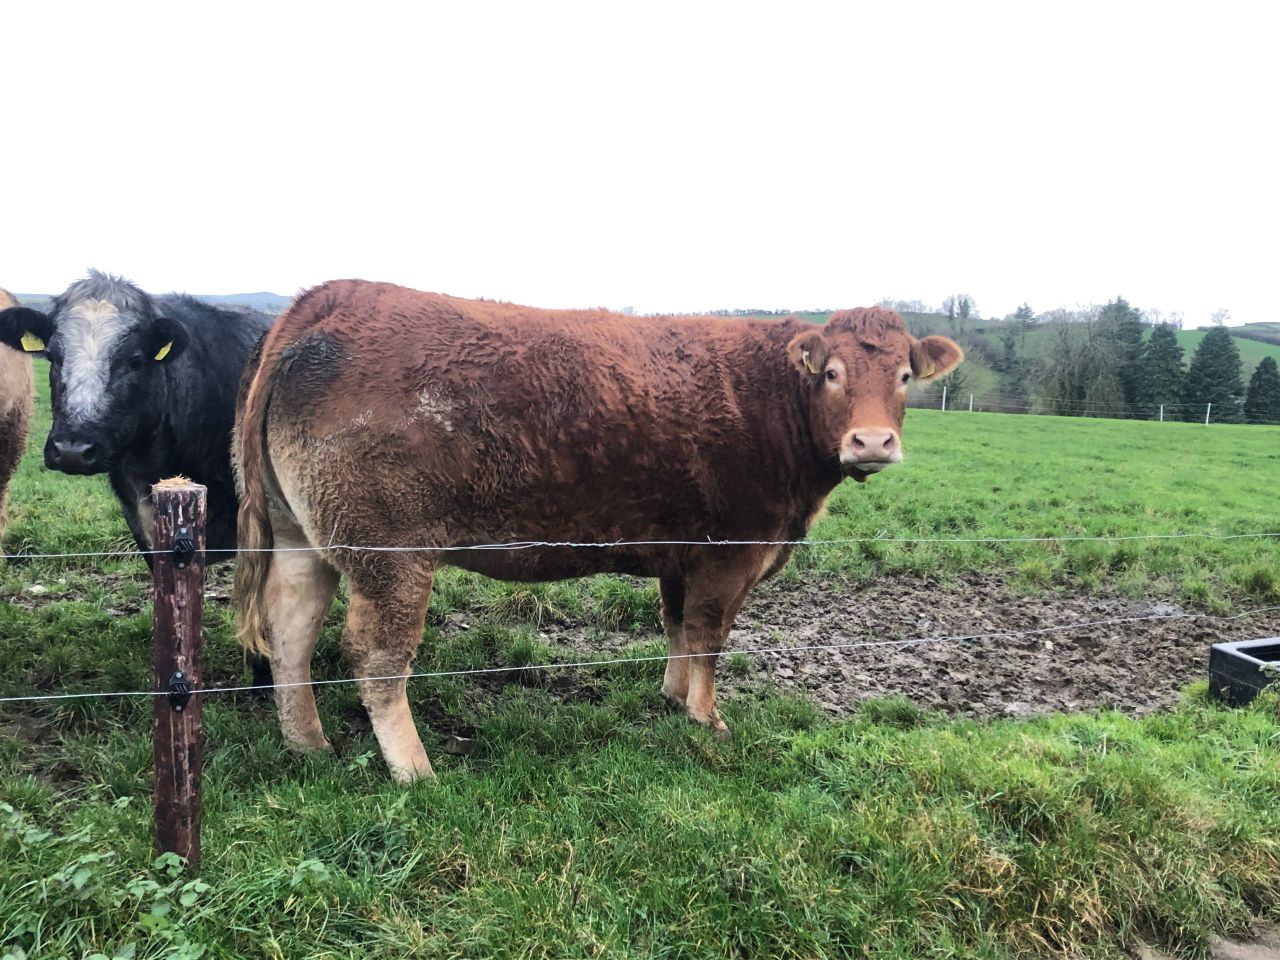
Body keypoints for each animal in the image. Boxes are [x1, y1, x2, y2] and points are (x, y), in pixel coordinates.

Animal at [234, 280, 963, 782]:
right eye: (832, 373)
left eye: (905, 376)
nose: (873, 441)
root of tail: (332, 298)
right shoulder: (731, 553)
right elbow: (709, 635)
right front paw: (708, 719)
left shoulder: (680, 554)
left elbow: (676, 626)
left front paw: (672, 697)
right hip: (391, 553)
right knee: (376, 655)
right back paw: (416, 770)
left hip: (301, 536)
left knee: (291, 630)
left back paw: (308, 745)